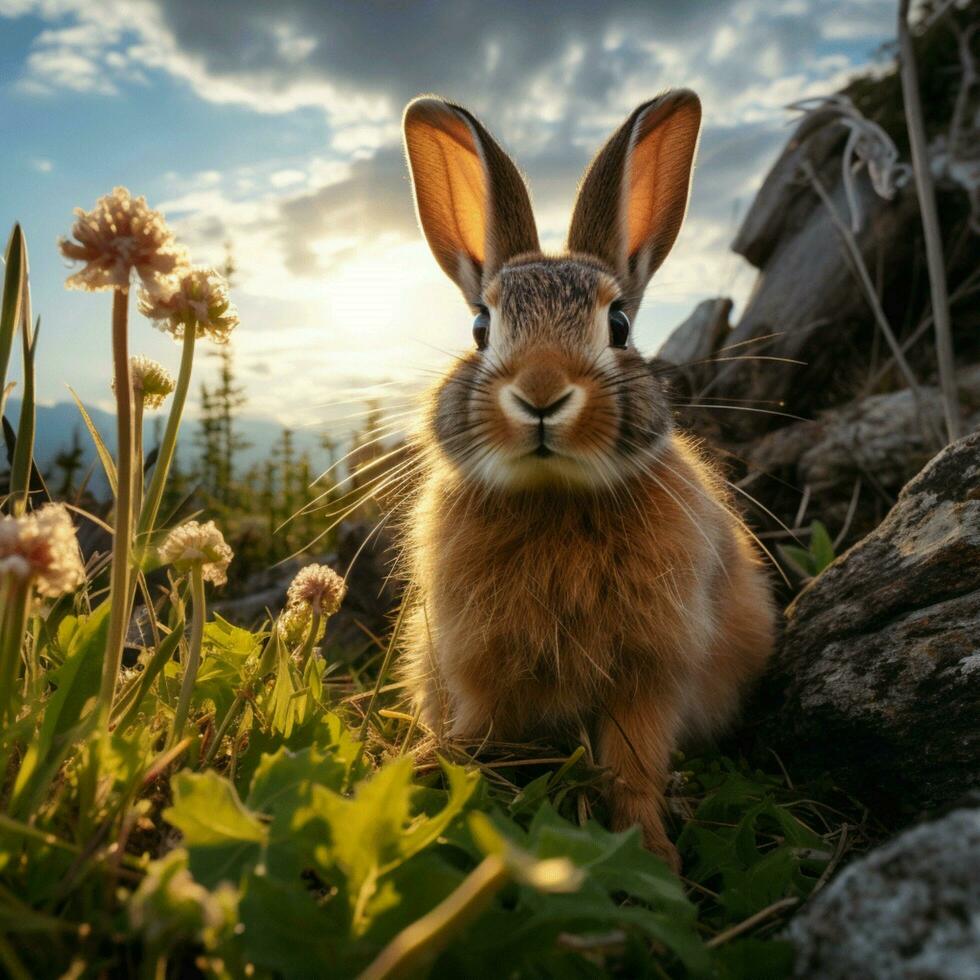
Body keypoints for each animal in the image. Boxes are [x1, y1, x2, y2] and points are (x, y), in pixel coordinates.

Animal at [398, 92, 772, 868]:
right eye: (481, 329)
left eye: (620, 324)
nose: (541, 393)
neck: (554, 499)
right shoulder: (479, 672)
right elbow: (476, 740)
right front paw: (428, 774)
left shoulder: (651, 673)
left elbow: (634, 766)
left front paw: (651, 854)